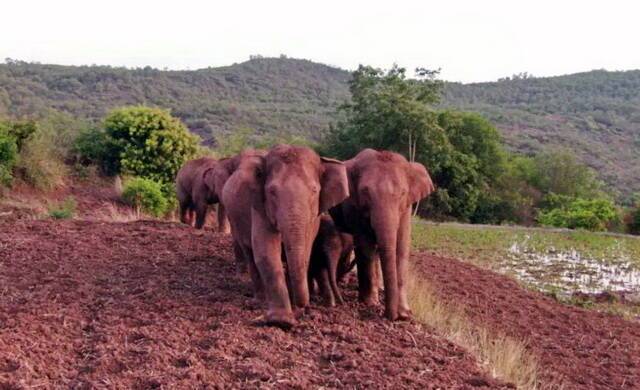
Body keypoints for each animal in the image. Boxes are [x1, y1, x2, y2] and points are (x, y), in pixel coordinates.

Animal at [226, 145, 350, 328]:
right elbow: (266, 251)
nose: (303, 306)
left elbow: (305, 250)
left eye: (314, 191)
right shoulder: (260, 207)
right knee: (249, 253)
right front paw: (281, 321)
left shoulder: (314, 217)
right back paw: (259, 300)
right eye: (272, 191)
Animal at [330, 148, 436, 322]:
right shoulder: (354, 206)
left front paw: (405, 314)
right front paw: (370, 303)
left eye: (403, 193)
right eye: (365, 192)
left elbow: (402, 247)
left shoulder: (406, 208)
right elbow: (365, 246)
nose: (392, 317)